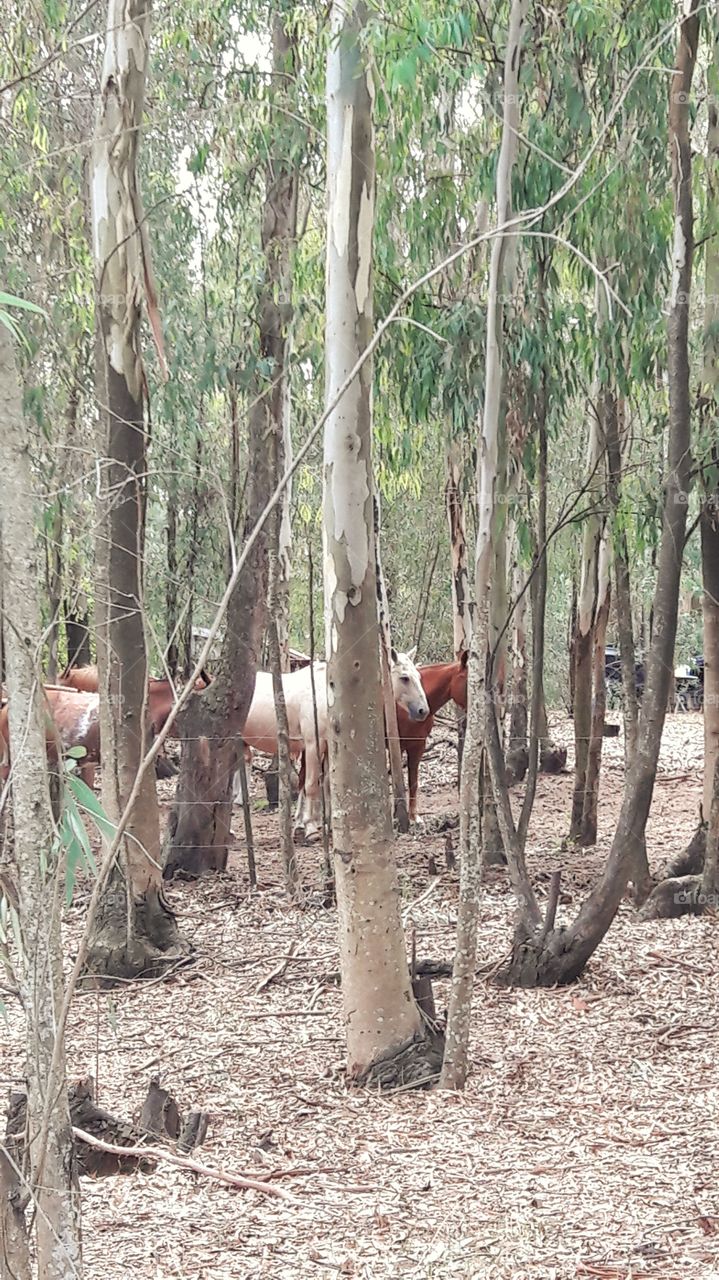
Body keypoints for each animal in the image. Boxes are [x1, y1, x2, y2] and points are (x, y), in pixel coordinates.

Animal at [237, 646, 429, 838]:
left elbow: (328, 784)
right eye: (405, 677)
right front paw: (310, 827)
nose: (423, 710)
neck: (325, 696)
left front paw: (329, 825)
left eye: (419, 677)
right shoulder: (313, 745)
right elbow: (311, 784)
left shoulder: (329, 748)